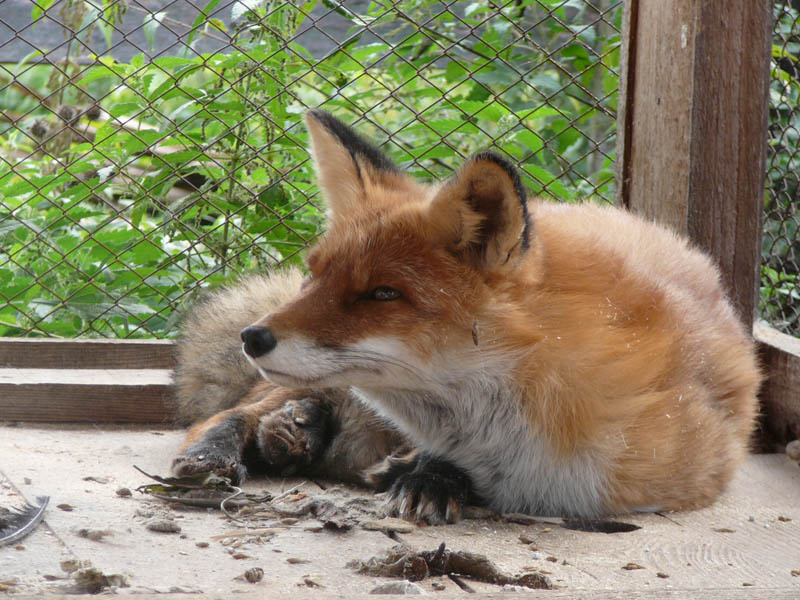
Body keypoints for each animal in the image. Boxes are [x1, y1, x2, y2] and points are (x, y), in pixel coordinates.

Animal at [172, 109, 761, 524]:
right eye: (311, 277)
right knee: (233, 412)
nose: (253, 337)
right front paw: (427, 474)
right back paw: (238, 446)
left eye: (383, 293)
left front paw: (424, 475)